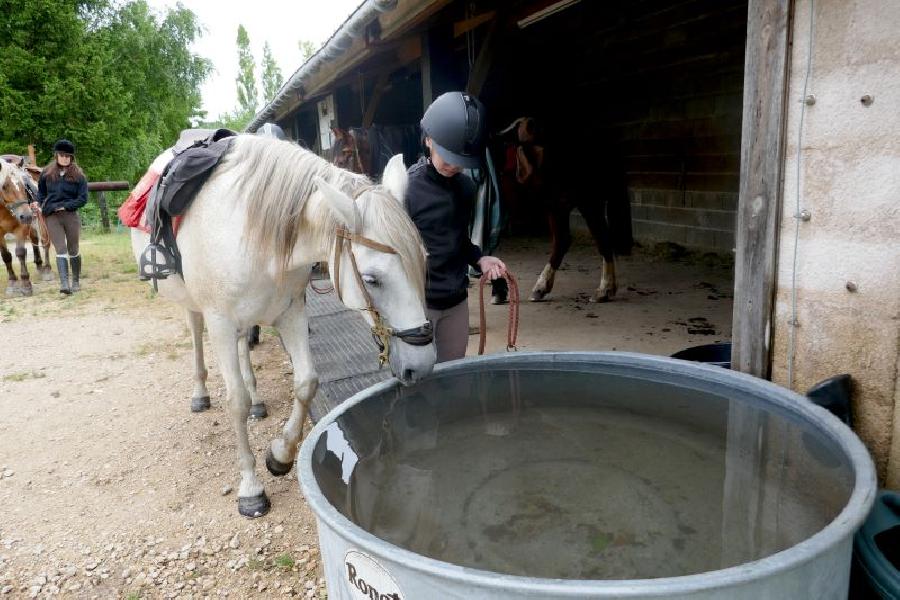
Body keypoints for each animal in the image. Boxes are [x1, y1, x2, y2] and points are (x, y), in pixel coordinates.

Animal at [132, 135, 438, 516]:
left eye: (423, 261)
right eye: (372, 279)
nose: (421, 365)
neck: (252, 234)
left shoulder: (290, 312)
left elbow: (306, 383)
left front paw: (280, 456)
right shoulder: (220, 321)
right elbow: (235, 402)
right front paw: (250, 488)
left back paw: (257, 400)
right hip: (194, 306)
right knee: (196, 336)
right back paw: (200, 394)